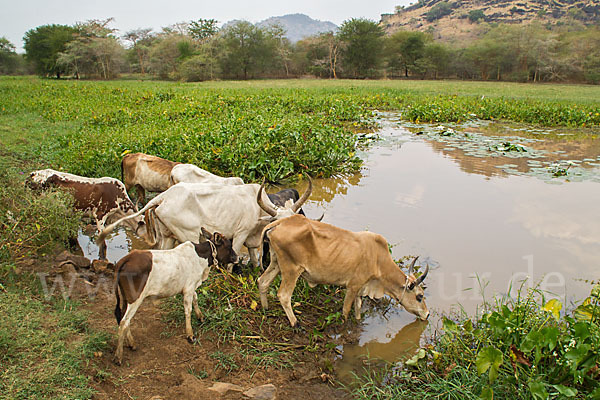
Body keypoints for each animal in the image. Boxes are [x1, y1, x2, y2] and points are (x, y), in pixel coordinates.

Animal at [113, 228, 238, 366]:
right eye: (229, 246)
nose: (237, 257)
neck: (200, 258)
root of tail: (125, 259)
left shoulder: (190, 287)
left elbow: (195, 299)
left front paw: (200, 317)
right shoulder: (189, 288)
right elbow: (188, 310)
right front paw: (190, 335)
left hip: (125, 298)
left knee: (122, 318)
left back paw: (131, 344)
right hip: (135, 299)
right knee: (124, 322)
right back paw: (118, 356)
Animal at [258, 217, 432, 326]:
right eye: (419, 296)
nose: (427, 314)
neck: (378, 260)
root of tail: (280, 222)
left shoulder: (361, 288)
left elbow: (358, 309)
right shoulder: (353, 286)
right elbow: (346, 310)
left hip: (276, 262)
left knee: (262, 282)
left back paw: (265, 308)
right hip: (292, 269)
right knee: (284, 295)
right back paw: (295, 323)